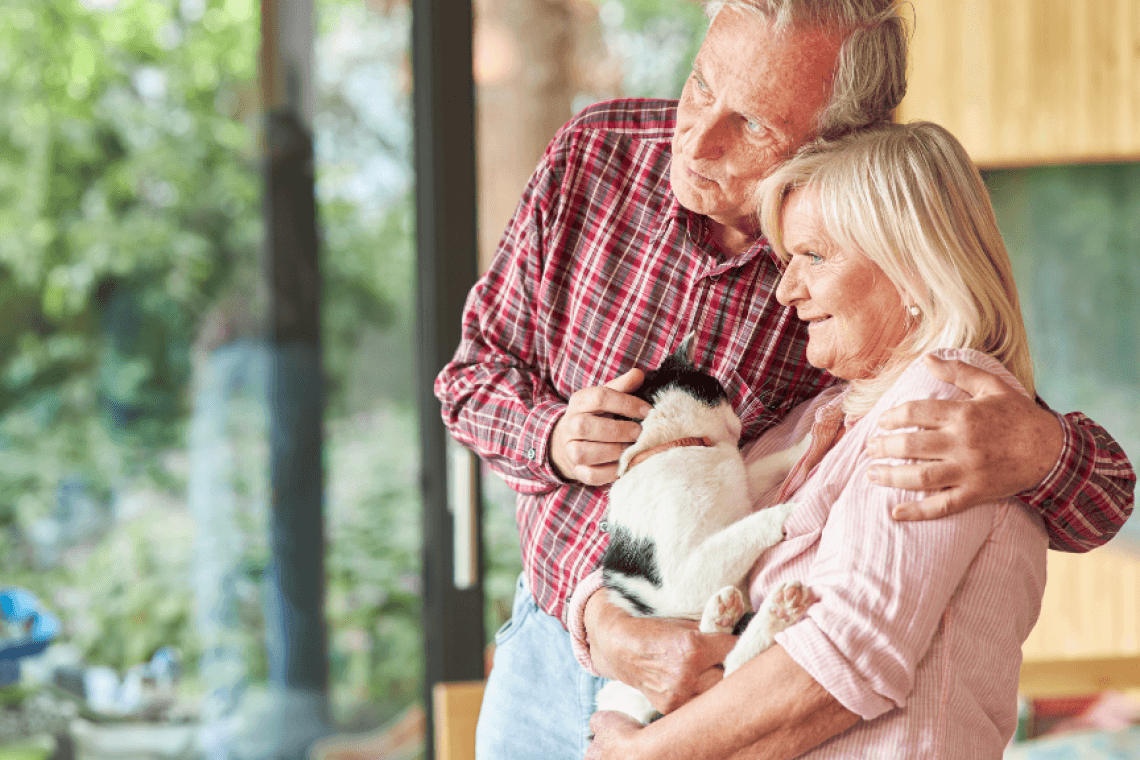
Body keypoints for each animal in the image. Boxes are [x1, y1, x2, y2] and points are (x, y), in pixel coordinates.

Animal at [597, 334, 811, 724]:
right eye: (722, 390)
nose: (741, 422)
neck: (674, 449)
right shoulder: (683, 579)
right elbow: (742, 531)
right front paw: (785, 510)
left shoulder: (743, 487)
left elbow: (763, 467)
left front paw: (809, 440)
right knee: (726, 670)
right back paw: (764, 610)